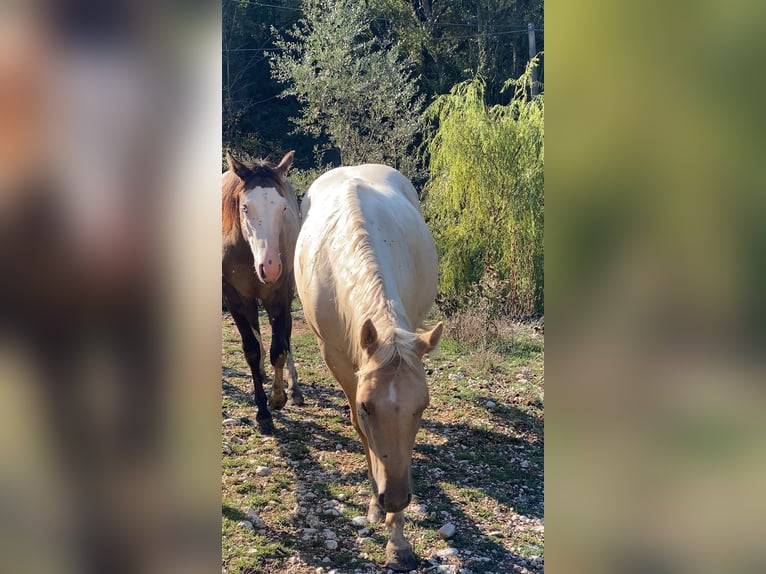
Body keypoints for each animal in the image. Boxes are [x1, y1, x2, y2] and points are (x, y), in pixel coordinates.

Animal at [224, 151, 304, 434]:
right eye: (245, 207)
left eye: (282, 208)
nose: (269, 268)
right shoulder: (236, 300)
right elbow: (251, 350)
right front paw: (262, 412)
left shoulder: (278, 297)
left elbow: (279, 349)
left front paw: (278, 397)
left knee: (286, 337)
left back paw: (295, 389)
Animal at [296, 164, 444, 572]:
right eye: (366, 407)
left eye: (422, 407)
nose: (393, 499)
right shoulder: (336, 358)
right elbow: (361, 430)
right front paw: (376, 507)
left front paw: (398, 540)